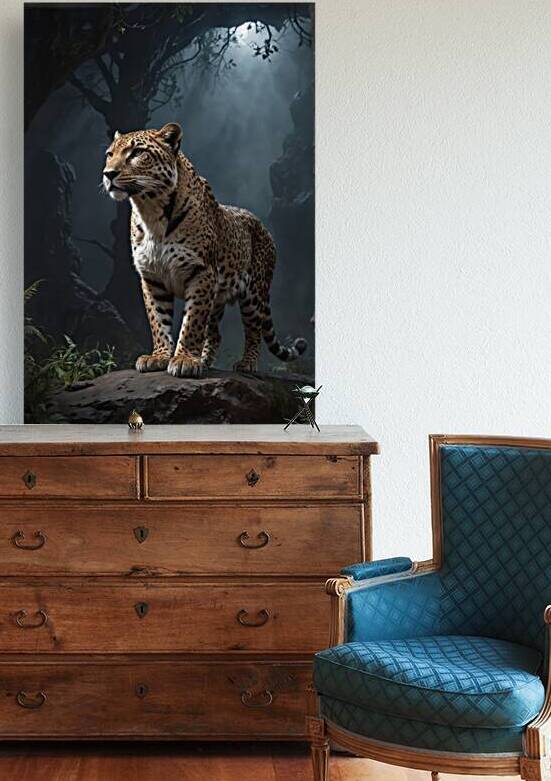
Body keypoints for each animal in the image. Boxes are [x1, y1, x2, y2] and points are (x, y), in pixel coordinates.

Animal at [102, 122, 307, 378]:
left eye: (137, 153)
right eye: (110, 154)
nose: (108, 174)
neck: (151, 211)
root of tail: (264, 228)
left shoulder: (201, 272)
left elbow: (192, 322)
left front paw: (184, 360)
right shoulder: (151, 277)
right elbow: (158, 320)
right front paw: (159, 356)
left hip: (254, 294)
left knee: (254, 330)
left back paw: (246, 363)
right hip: (218, 297)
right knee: (215, 333)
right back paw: (206, 360)